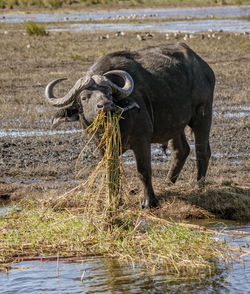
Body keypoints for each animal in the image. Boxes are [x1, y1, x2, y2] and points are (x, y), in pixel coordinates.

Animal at [45, 42, 215, 208]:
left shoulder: (142, 141)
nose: (106, 105)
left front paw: (149, 202)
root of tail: (204, 67)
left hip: (203, 114)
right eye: (85, 97)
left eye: (109, 93)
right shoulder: (103, 147)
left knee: (202, 151)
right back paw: (168, 183)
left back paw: (198, 187)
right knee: (181, 150)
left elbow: (143, 170)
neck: (118, 125)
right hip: (175, 124)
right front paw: (114, 201)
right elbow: (112, 172)